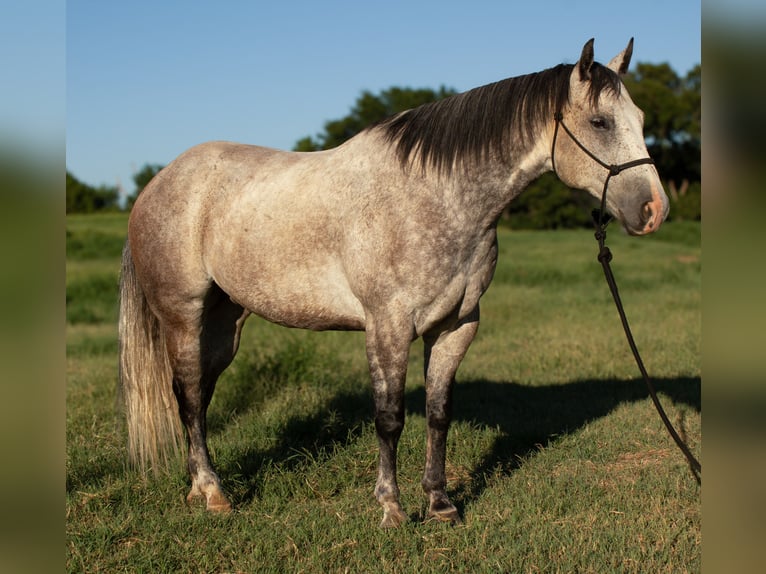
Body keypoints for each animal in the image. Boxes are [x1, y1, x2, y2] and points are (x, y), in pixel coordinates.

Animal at [119, 38, 669, 528]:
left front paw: (441, 504)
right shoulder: (388, 326)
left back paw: (199, 487)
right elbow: (389, 418)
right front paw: (392, 509)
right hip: (183, 316)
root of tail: (160, 181)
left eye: (642, 120)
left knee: (199, 397)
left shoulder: (456, 326)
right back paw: (213, 494)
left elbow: (438, 413)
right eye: (599, 122)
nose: (654, 210)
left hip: (225, 321)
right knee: (189, 395)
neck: (437, 197)